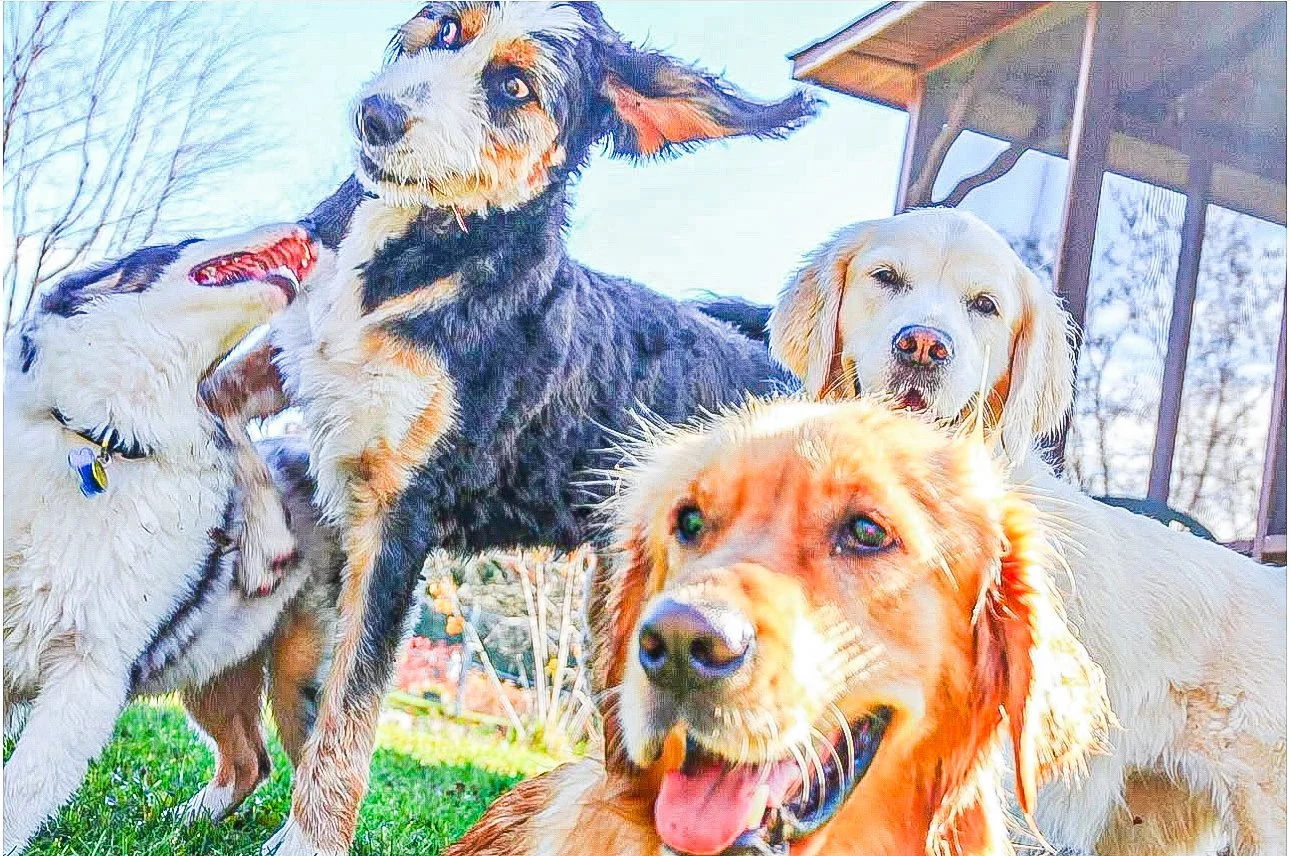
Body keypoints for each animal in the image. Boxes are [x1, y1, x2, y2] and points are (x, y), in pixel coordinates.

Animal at [2, 225, 342, 853]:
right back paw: (186, 821)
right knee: (249, 760)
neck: (105, 441)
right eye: (191, 239)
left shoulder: (88, 673)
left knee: (314, 769)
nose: (307, 230)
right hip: (215, 667)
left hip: (300, 677)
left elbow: (23, 790)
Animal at [190, 4, 819, 853]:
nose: (376, 115)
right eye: (447, 27)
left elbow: (349, 713)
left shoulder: (400, 522)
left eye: (515, 86)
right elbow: (207, 401)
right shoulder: (291, 360)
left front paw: (311, 839)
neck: (431, 249)